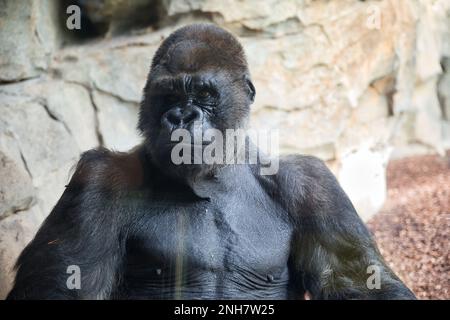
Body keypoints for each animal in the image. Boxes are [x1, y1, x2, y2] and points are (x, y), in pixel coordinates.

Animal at [6, 23, 414, 300]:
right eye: (169, 96)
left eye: (204, 94)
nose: (181, 116)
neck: (213, 177)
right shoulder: (98, 179)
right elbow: (65, 284)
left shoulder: (312, 183)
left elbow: (357, 281)